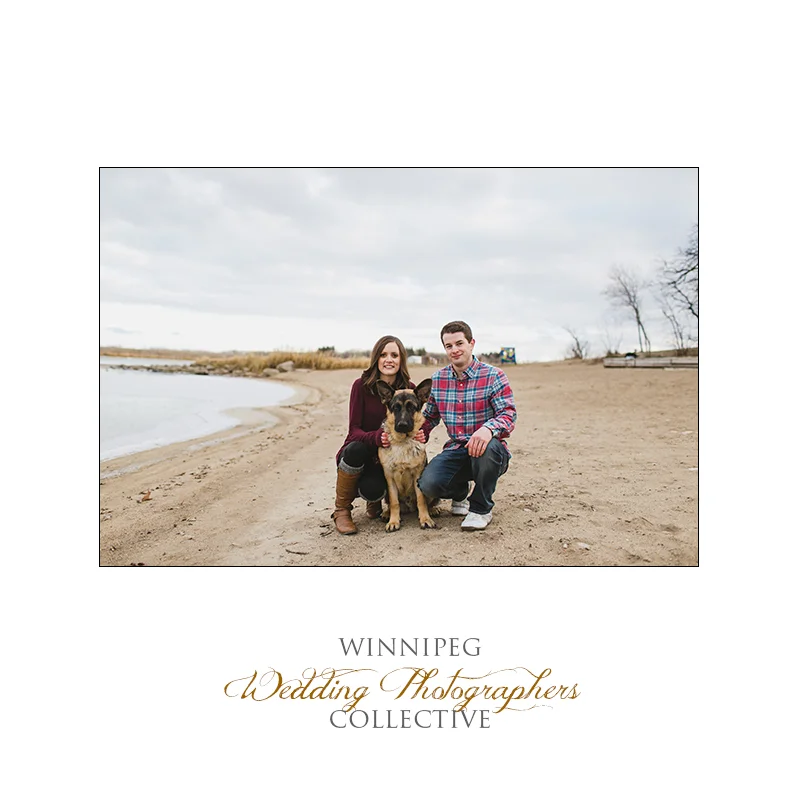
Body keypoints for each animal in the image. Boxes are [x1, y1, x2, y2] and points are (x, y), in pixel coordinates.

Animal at [375, 378, 440, 532]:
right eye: (396, 408)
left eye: (412, 407)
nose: (403, 425)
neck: (402, 442)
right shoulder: (389, 478)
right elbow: (394, 502)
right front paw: (393, 521)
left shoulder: (417, 476)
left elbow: (421, 500)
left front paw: (425, 519)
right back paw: (387, 513)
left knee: (429, 501)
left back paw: (432, 509)